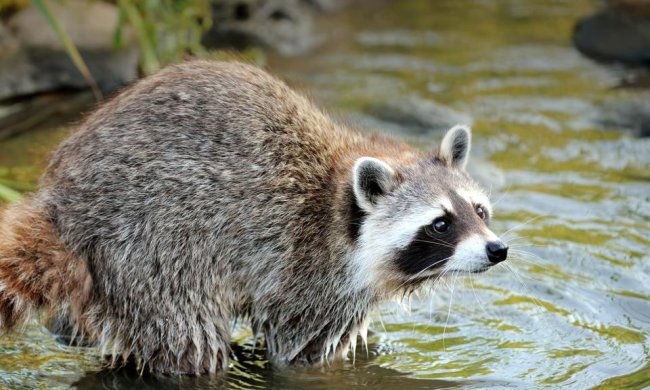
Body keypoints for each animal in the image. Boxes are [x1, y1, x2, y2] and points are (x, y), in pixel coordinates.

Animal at [0, 61, 506, 374]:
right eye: (441, 223)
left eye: (478, 210)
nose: (497, 249)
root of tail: (62, 206)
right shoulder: (306, 272)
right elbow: (299, 349)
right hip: (148, 248)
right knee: (190, 338)